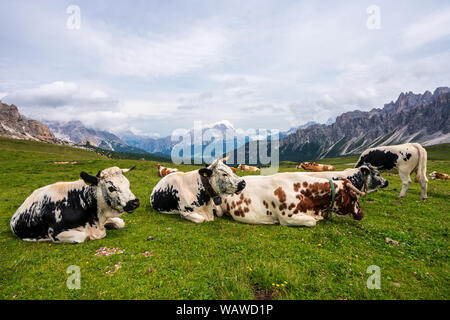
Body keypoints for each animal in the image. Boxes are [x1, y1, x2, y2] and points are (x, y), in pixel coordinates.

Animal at [11, 166, 141, 244]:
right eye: (111, 188)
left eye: (128, 183)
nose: (134, 202)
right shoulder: (54, 232)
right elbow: (84, 236)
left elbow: (120, 223)